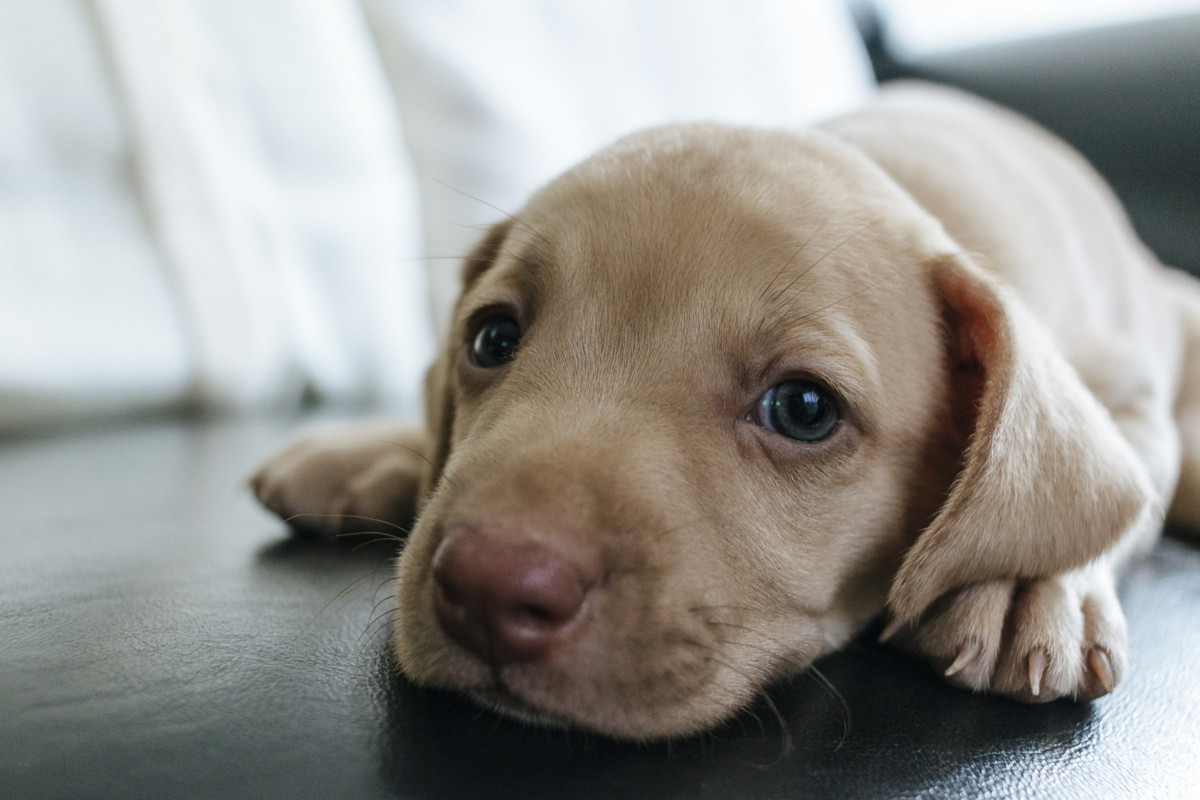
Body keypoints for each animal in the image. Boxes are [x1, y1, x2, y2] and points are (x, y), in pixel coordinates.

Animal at [250, 84, 1200, 743]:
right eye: (490, 338)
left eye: (805, 408)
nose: (487, 587)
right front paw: (383, 451)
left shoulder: (1128, 392)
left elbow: (1103, 495)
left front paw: (1025, 585)